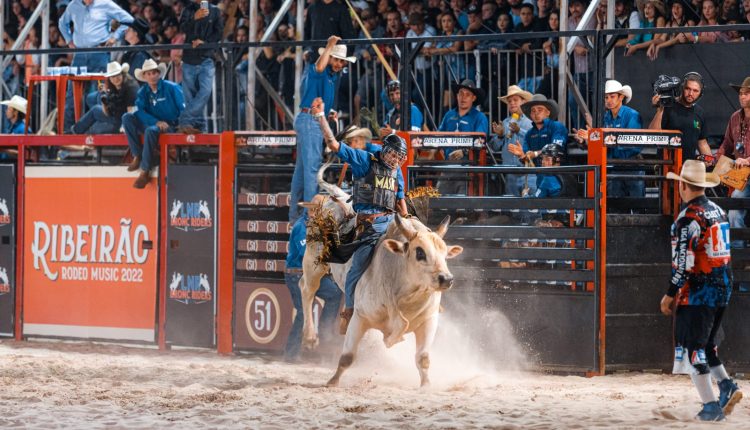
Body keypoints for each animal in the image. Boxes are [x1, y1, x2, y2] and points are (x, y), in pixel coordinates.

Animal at [300, 165, 464, 386]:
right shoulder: (360, 317)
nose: (446, 279)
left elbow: (423, 358)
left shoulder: (429, 321)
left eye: (445, 253)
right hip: (313, 260)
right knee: (307, 289)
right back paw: (309, 337)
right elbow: (347, 357)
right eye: (420, 252)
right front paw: (333, 382)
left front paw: (426, 385)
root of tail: (339, 197)